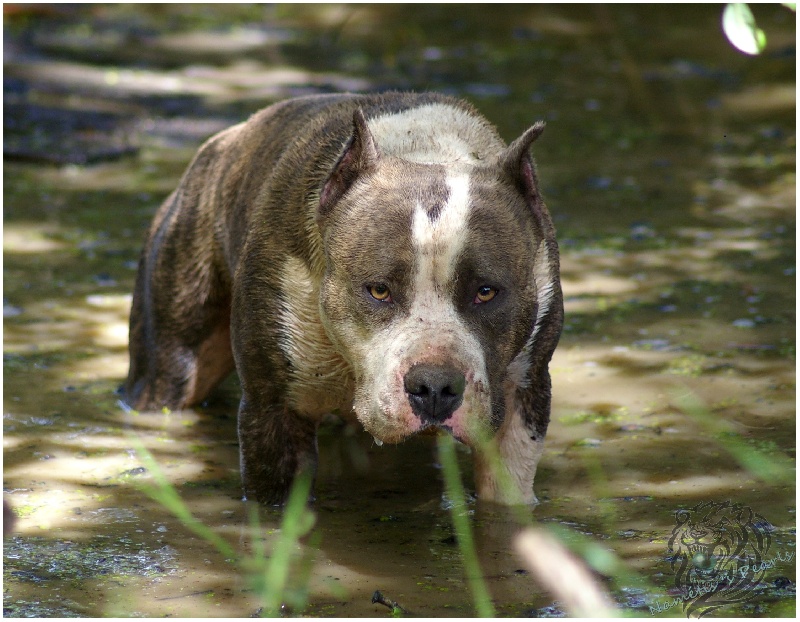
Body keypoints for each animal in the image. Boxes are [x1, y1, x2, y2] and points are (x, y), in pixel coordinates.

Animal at [123, 92, 564, 508]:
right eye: (379, 290)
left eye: (486, 292)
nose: (436, 385)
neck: (424, 150)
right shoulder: (272, 414)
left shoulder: (523, 405)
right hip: (171, 365)